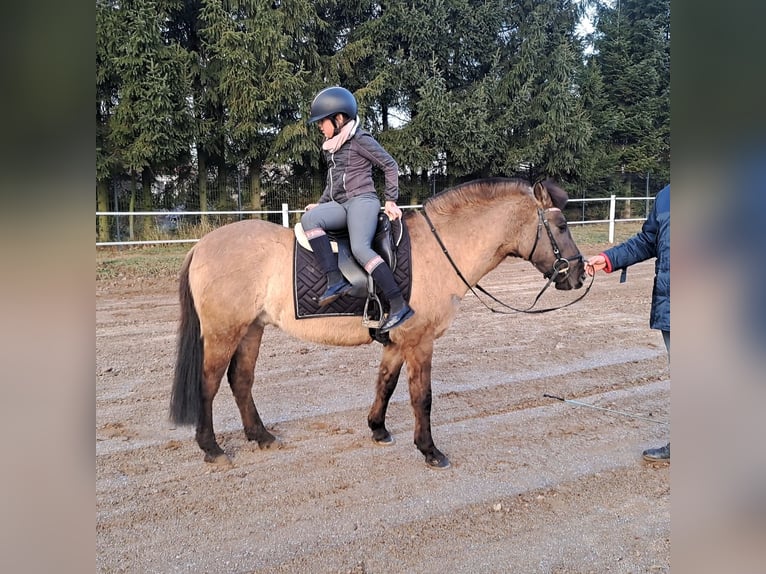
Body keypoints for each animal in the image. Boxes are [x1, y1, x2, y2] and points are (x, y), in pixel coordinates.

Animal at [170, 178, 586, 469]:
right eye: (562, 225)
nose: (579, 275)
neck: (438, 250)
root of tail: (202, 246)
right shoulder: (419, 341)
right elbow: (422, 397)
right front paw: (430, 450)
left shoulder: (398, 341)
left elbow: (385, 384)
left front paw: (378, 429)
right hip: (224, 333)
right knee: (208, 386)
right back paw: (212, 448)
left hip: (251, 329)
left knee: (241, 381)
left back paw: (261, 436)